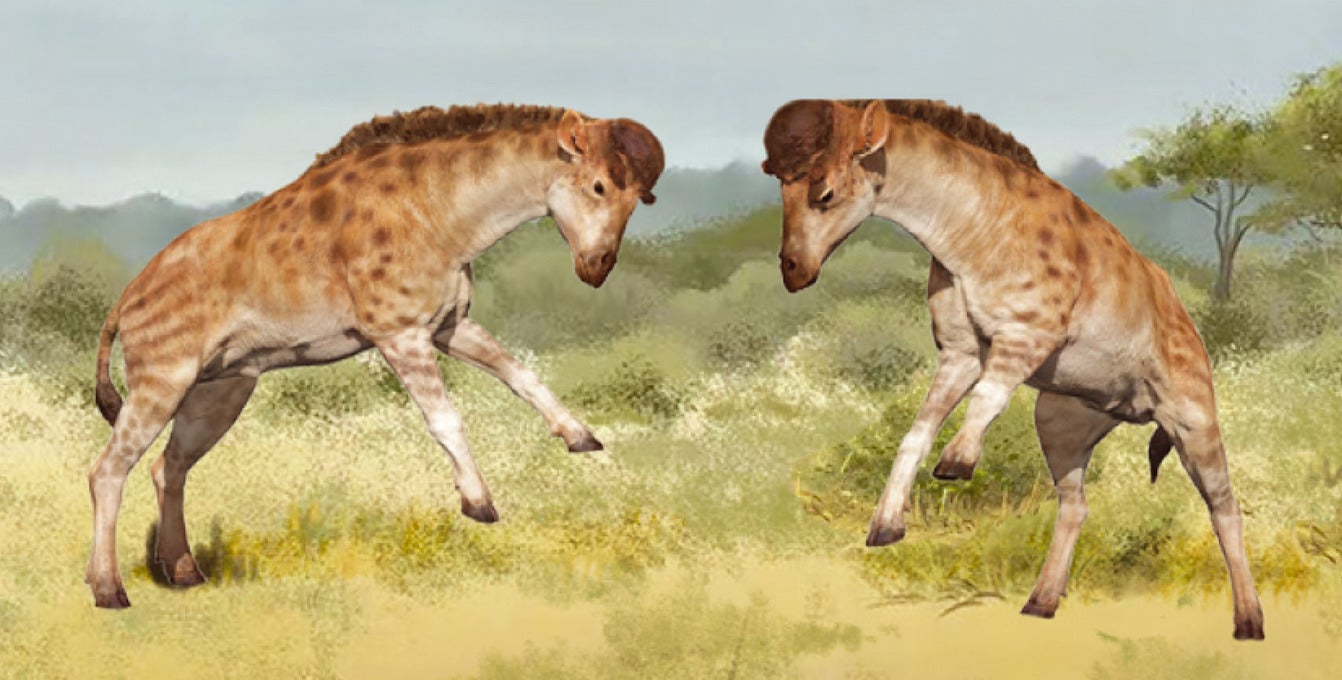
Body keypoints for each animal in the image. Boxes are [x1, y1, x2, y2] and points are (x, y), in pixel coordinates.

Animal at [87, 103, 664, 608]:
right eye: (599, 186)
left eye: (640, 197)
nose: (597, 267)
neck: (438, 210)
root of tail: (124, 303)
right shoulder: (400, 335)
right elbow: (446, 418)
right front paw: (479, 503)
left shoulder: (448, 326)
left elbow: (521, 374)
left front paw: (581, 437)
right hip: (163, 382)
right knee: (108, 471)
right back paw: (109, 591)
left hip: (219, 391)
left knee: (167, 468)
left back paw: (184, 572)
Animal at [761, 98, 1265, 640]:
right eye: (780, 187)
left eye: (824, 193)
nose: (792, 270)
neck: (971, 233)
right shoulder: (960, 352)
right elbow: (916, 433)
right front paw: (885, 526)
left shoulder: (1028, 335)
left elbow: (987, 397)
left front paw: (956, 463)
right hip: (1061, 425)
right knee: (1075, 504)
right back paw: (1040, 602)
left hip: (1193, 421)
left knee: (1225, 508)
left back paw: (1249, 622)